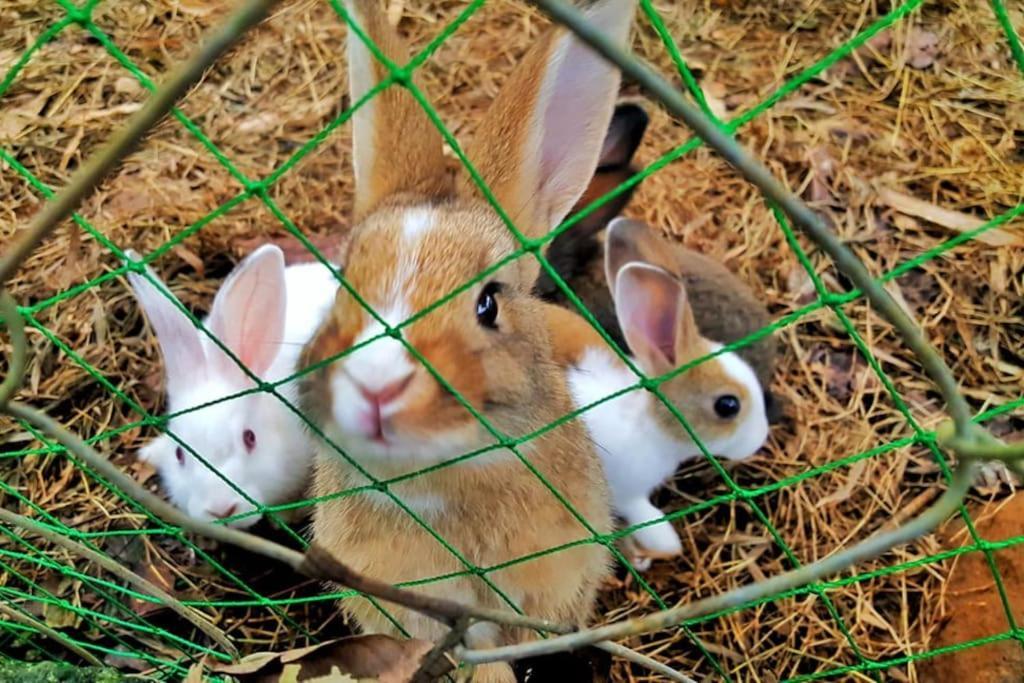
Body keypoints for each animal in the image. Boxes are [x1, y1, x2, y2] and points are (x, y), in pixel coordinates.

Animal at [544, 220, 770, 573]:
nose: (760, 438)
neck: (649, 424)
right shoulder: (627, 494)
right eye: (728, 405)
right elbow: (661, 535)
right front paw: (644, 555)